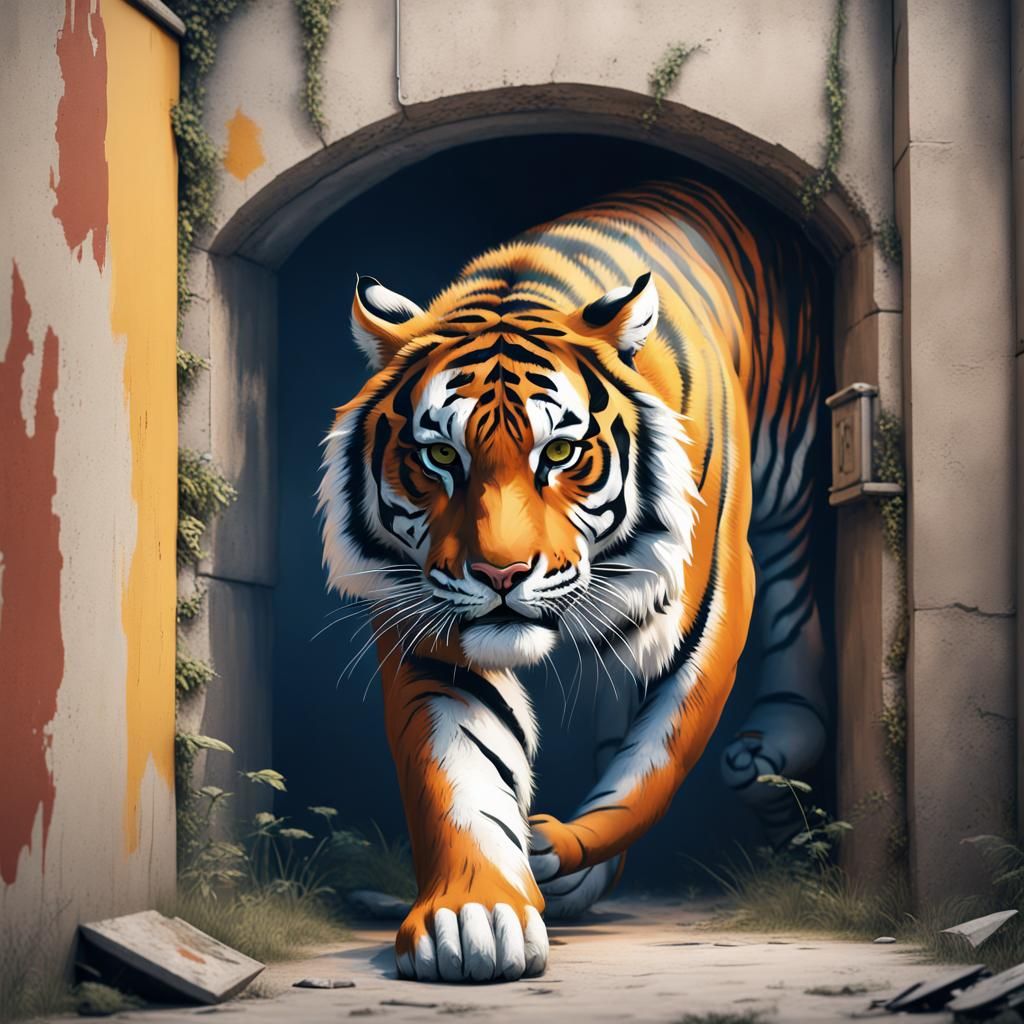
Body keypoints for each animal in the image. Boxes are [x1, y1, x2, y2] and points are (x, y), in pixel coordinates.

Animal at [318, 179, 827, 982]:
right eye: (440, 457)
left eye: (559, 452)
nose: (499, 572)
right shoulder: (435, 632)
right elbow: (458, 771)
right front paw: (476, 918)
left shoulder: (706, 614)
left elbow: (655, 766)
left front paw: (559, 848)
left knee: (791, 596)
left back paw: (768, 748)